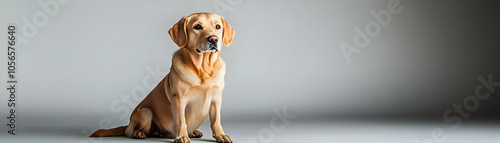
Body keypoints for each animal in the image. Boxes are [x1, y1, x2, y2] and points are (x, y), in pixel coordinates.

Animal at [89, 12, 234, 143]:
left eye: (217, 26)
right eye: (197, 27)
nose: (213, 39)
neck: (203, 68)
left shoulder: (216, 99)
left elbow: (216, 121)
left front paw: (220, 135)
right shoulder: (179, 99)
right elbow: (181, 121)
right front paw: (181, 136)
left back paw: (191, 132)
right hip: (145, 112)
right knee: (130, 131)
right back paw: (139, 133)